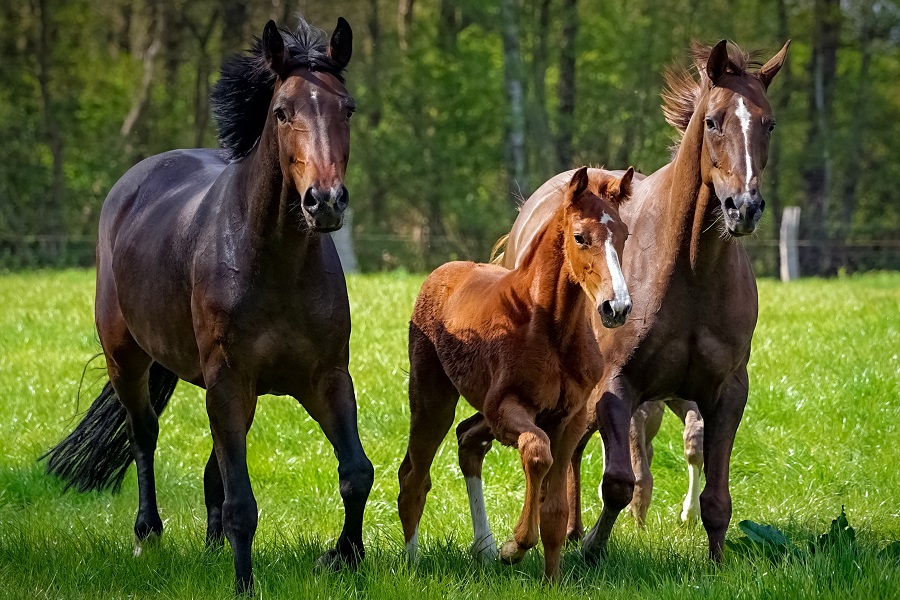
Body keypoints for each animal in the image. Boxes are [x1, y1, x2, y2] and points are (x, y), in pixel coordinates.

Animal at [41, 18, 372, 596]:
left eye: (346, 108)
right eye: (281, 110)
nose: (325, 201)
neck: (274, 262)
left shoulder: (326, 377)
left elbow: (355, 472)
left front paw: (344, 558)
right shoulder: (229, 380)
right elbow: (243, 503)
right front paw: (244, 582)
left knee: (212, 465)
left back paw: (212, 545)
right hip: (128, 360)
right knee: (144, 434)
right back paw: (148, 533)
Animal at [398, 166, 636, 580]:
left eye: (622, 234)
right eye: (580, 237)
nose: (616, 307)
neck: (550, 328)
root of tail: (442, 272)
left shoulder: (570, 418)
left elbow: (556, 511)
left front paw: (551, 581)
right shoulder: (505, 408)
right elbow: (537, 451)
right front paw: (515, 546)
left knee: (466, 443)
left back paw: (483, 548)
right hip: (432, 401)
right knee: (414, 476)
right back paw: (414, 565)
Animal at [488, 39, 792, 560]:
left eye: (768, 123)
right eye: (713, 122)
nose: (744, 208)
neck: (690, 272)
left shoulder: (727, 392)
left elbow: (717, 497)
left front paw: (716, 561)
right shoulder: (618, 387)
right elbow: (618, 482)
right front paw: (592, 550)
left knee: (573, 448)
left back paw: (569, 528)